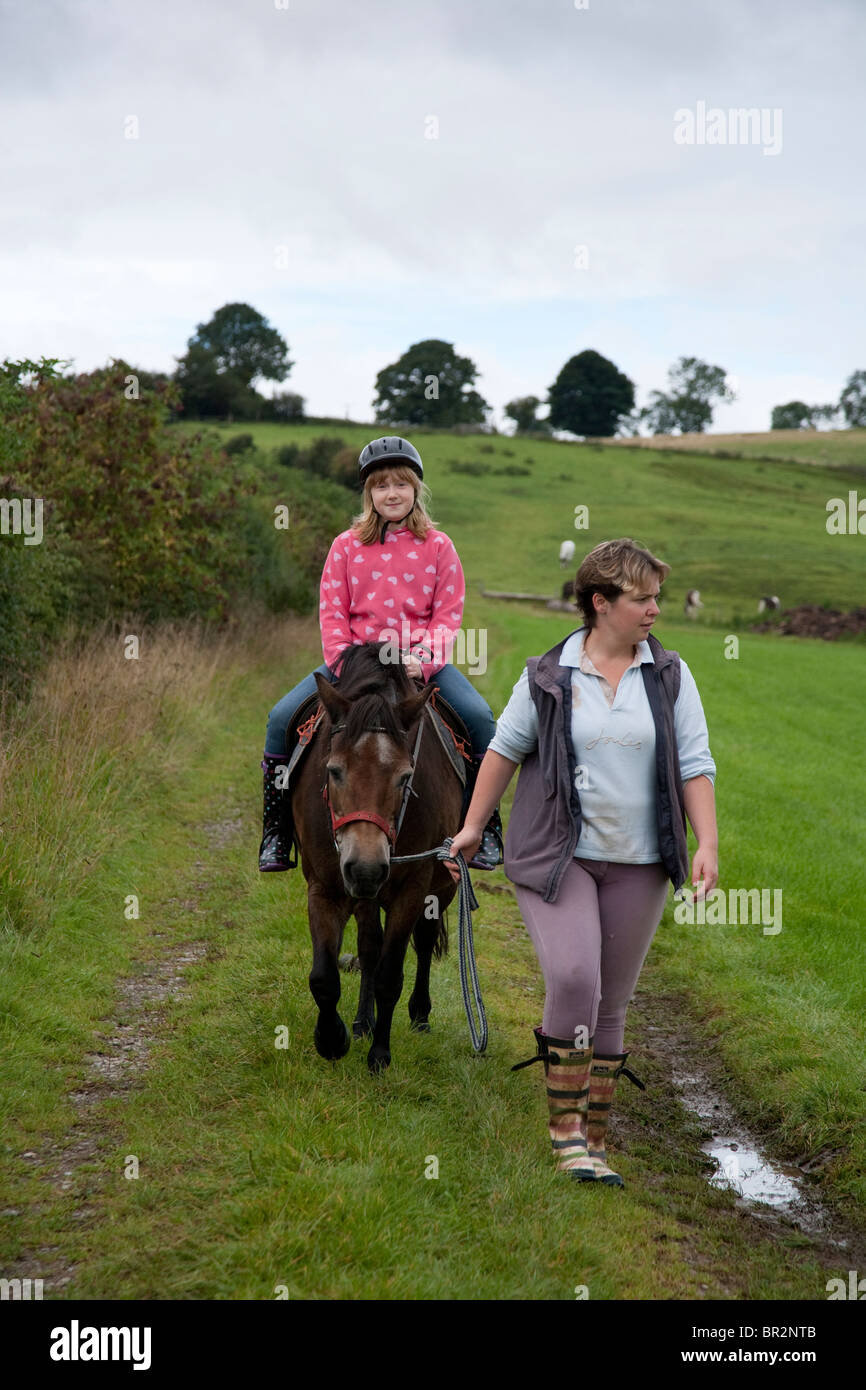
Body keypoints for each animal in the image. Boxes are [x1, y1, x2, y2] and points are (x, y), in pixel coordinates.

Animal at [291, 642, 464, 1073]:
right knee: (369, 947)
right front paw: (332, 1039)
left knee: (422, 942)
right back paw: (361, 1022)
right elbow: (324, 976)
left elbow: (391, 976)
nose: (367, 869)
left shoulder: (412, 889)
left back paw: (419, 1015)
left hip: (443, 885)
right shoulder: (325, 886)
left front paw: (380, 1056)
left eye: (405, 776)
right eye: (334, 770)